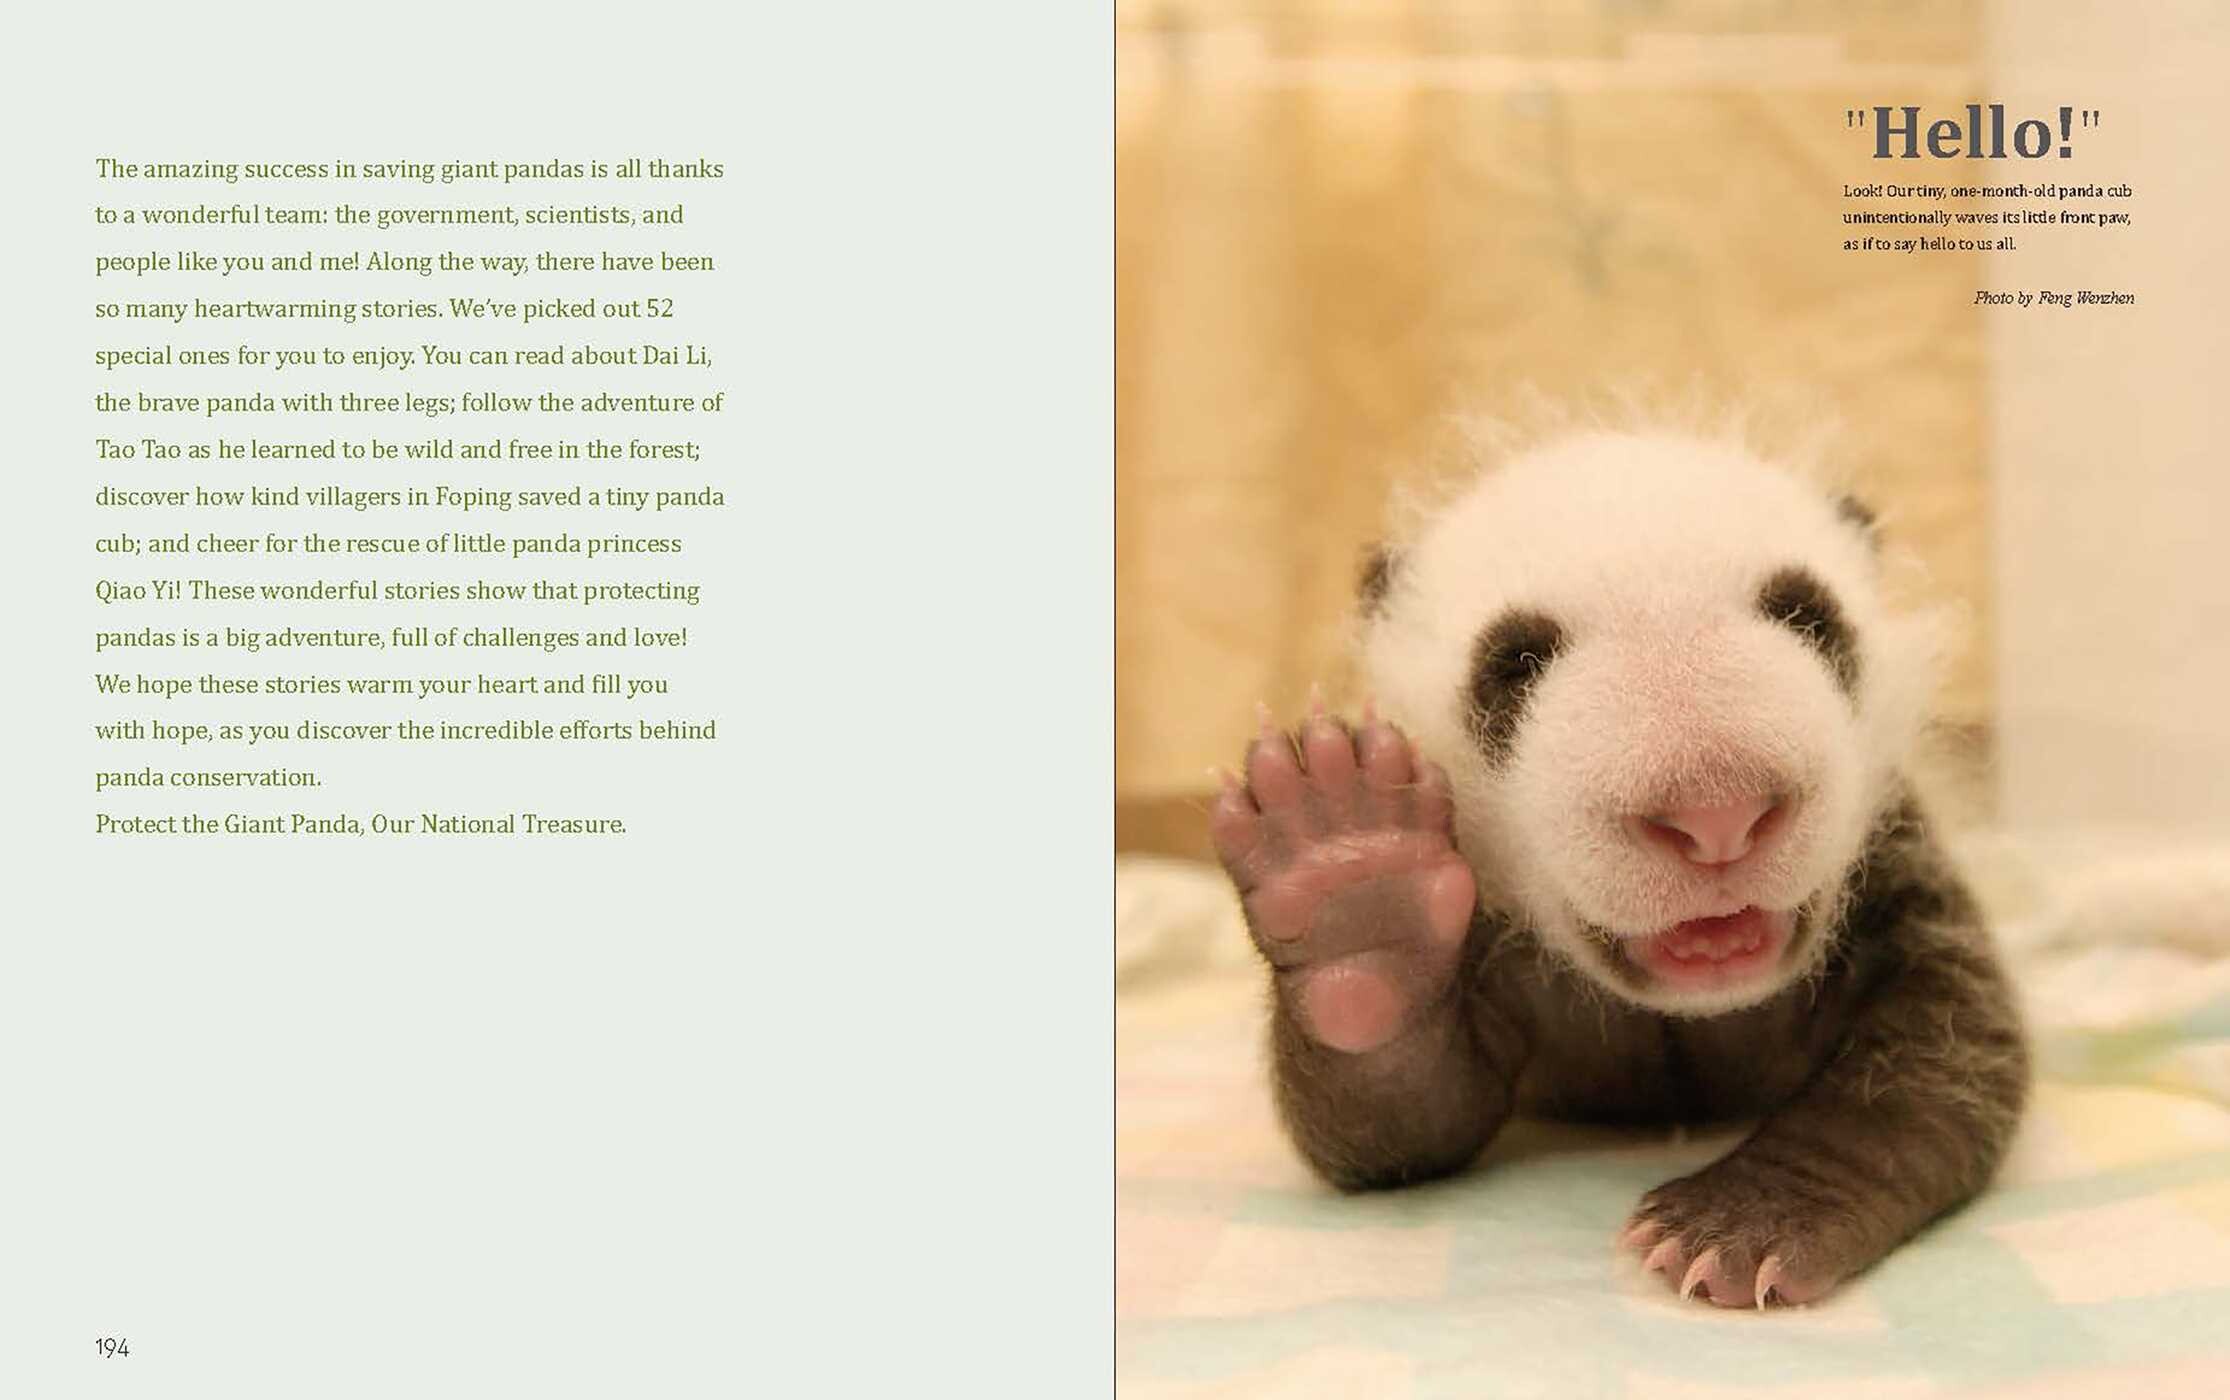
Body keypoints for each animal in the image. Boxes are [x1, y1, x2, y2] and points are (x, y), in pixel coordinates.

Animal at [1210, 425, 2028, 1309]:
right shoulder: (1494, 919)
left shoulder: (1893, 860)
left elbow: (1941, 1056)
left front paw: (1742, 1227)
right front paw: (1355, 884)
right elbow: (1405, 1114)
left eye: (1807, 616)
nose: (1717, 813)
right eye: (1516, 661)